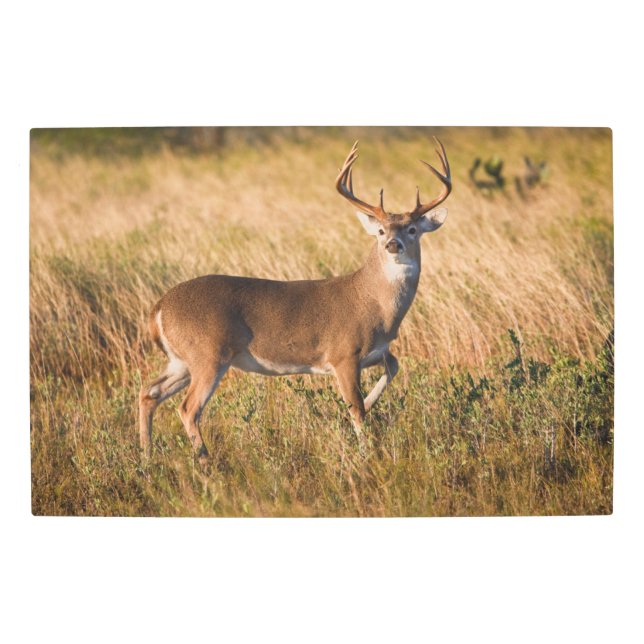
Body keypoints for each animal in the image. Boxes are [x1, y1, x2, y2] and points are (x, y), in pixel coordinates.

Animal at [138, 138, 452, 461]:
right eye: (379, 230)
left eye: (412, 229)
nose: (392, 244)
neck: (374, 304)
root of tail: (158, 309)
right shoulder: (343, 354)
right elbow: (357, 410)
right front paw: (366, 455)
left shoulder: (377, 352)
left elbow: (393, 368)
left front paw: (370, 402)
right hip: (208, 354)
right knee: (188, 408)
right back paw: (205, 461)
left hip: (180, 359)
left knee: (149, 393)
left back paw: (147, 457)